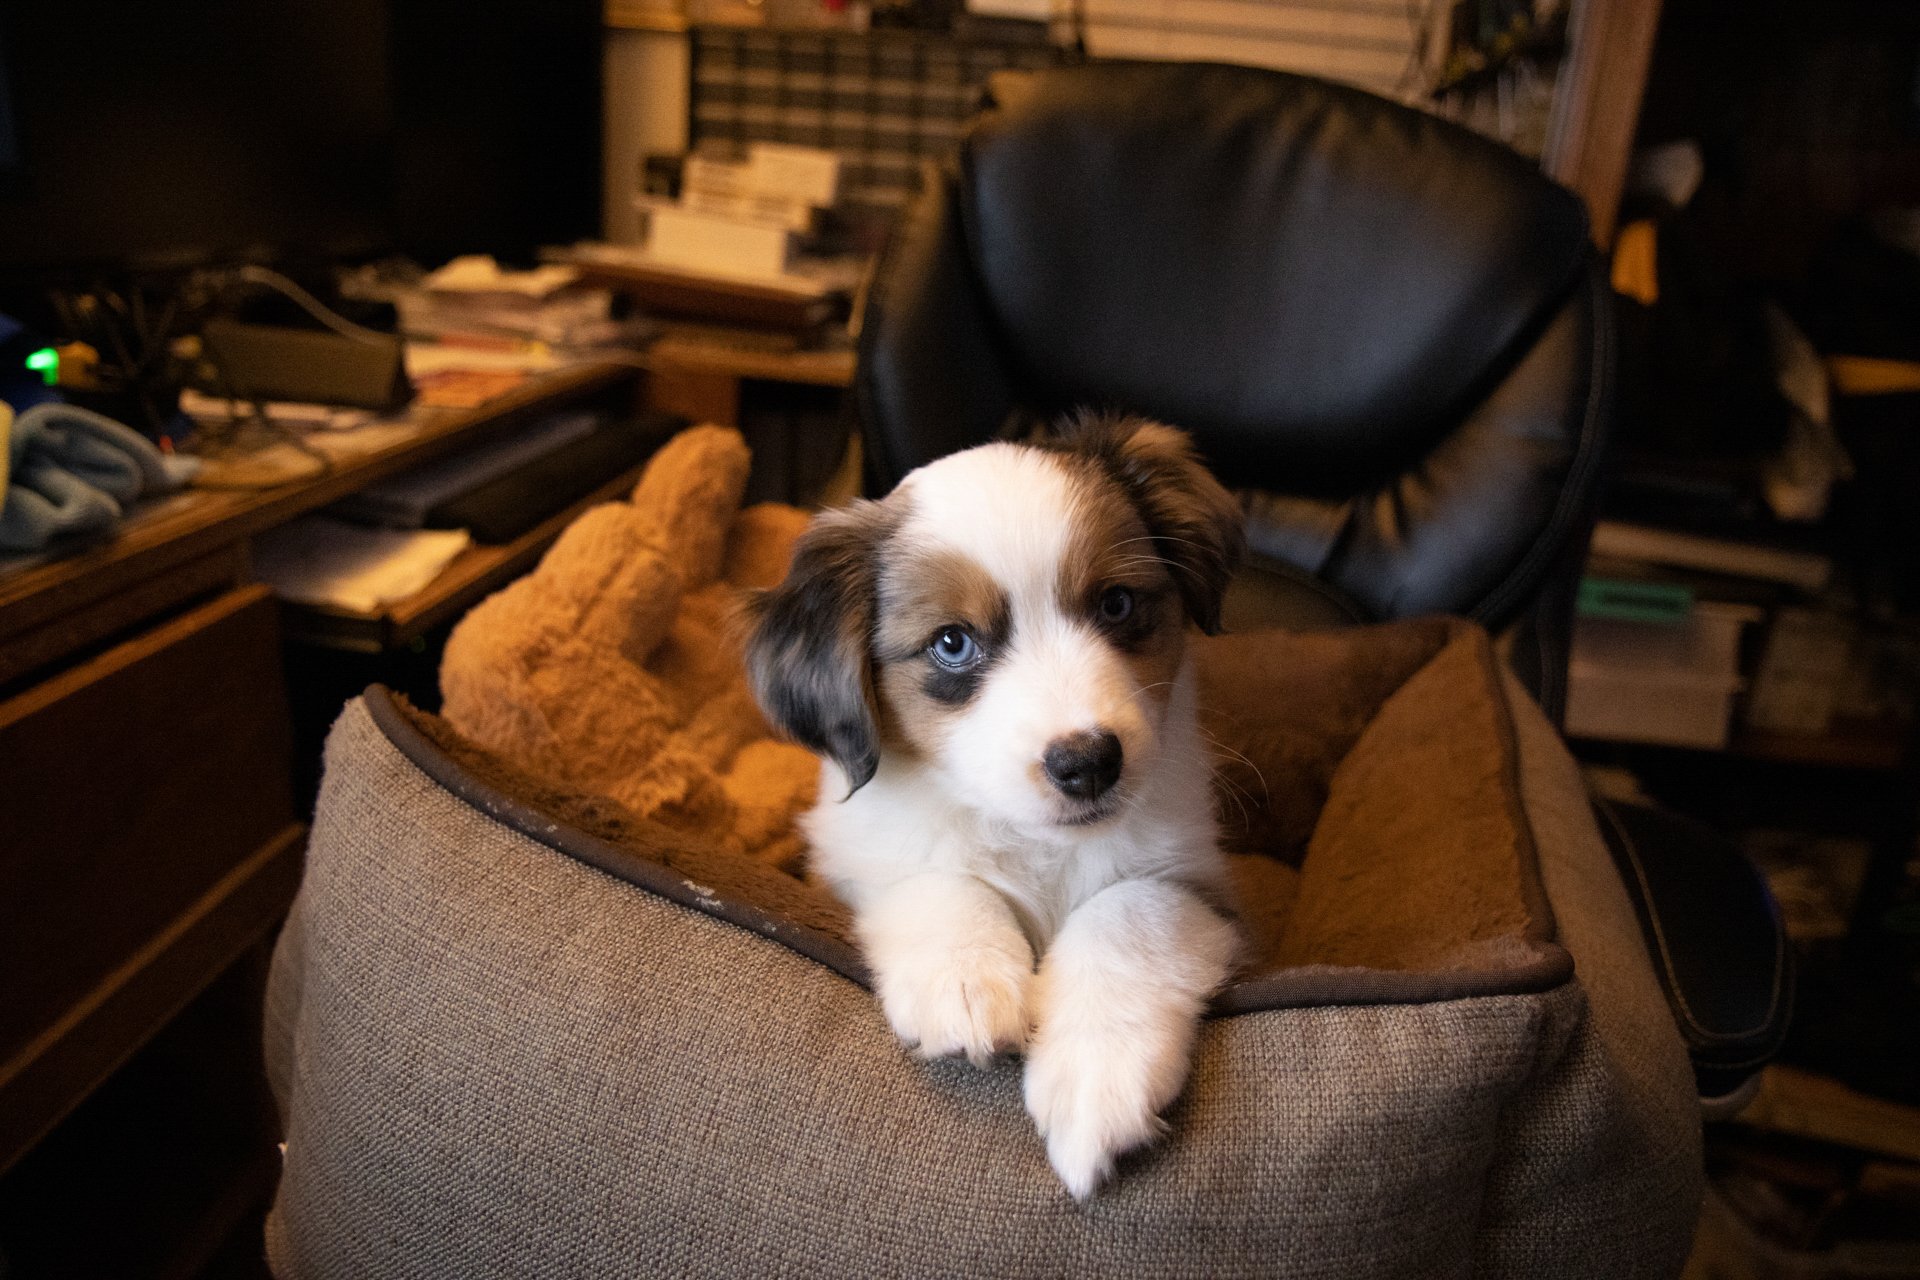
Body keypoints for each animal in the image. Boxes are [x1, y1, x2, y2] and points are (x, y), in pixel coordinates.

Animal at [733, 412, 1244, 1205]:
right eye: (952, 642)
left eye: (1117, 604)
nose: (1088, 764)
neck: (1039, 843)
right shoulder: (852, 854)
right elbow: (934, 876)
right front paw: (966, 980)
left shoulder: (1197, 875)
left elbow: (1130, 907)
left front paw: (1095, 1076)